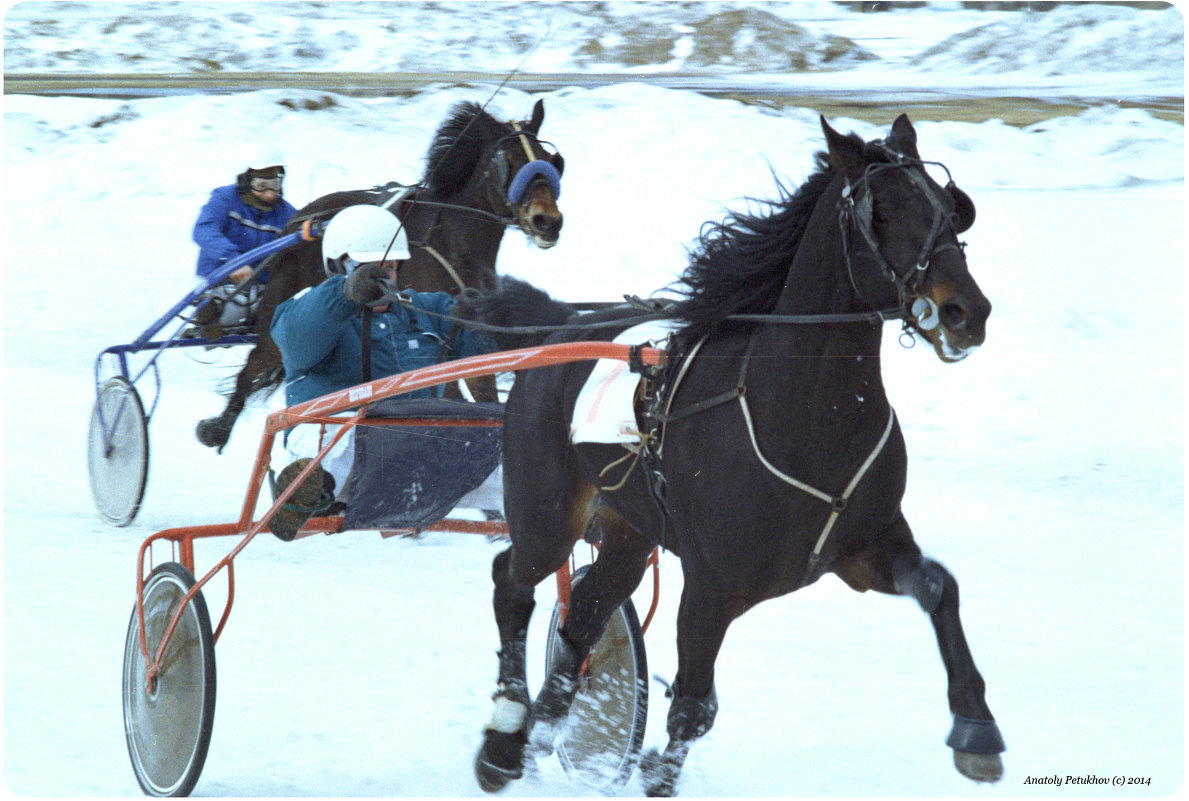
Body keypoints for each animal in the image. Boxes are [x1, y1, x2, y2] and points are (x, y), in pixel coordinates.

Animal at [194, 98, 565, 449]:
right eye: (507, 161)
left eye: (550, 159)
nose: (547, 220)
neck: (452, 245)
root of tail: (298, 223)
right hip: (280, 308)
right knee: (254, 363)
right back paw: (217, 429)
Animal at [463, 112, 1003, 793]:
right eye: (880, 212)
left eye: (948, 207)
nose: (966, 311)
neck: (807, 416)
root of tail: (557, 329)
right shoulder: (710, 588)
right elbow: (693, 708)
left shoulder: (865, 547)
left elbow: (939, 587)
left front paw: (976, 725)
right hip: (547, 514)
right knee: (512, 582)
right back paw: (505, 736)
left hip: (630, 531)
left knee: (582, 618)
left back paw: (542, 729)